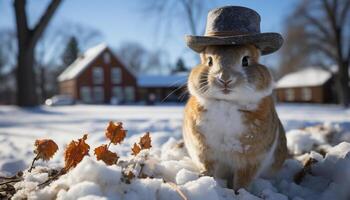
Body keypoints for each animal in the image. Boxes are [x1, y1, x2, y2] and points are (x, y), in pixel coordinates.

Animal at [183, 44, 288, 190]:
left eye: (245, 60)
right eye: (209, 61)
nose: (224, 78)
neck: (227, 103)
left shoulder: (250, 161)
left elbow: (242, 180)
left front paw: (240, 192)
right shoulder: (204, 152)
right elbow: (208, 168)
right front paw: (204, 180)